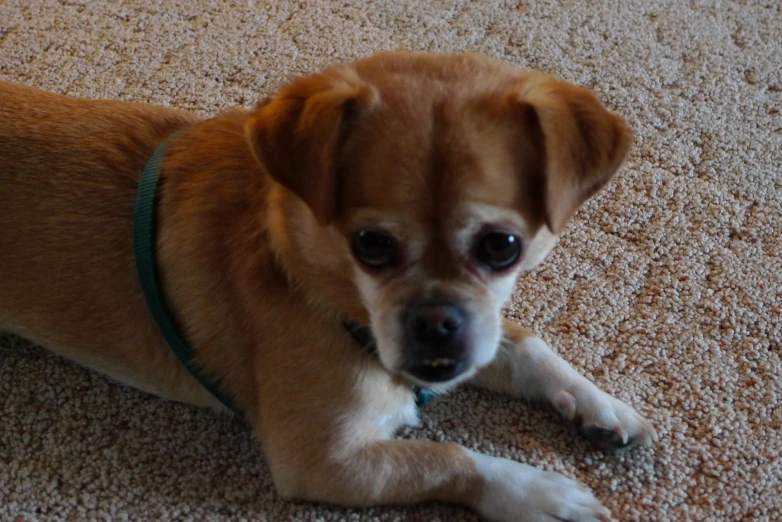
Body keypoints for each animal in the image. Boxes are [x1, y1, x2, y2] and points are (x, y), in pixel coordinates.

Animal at [0, 53, 660, 520]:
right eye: (371, 244)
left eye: (503, 247)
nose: (437, 325)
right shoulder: (325, 462)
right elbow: (445, 456)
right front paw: (536, 493)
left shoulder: (481, 335)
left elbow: (526, 346)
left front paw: (597, 403)